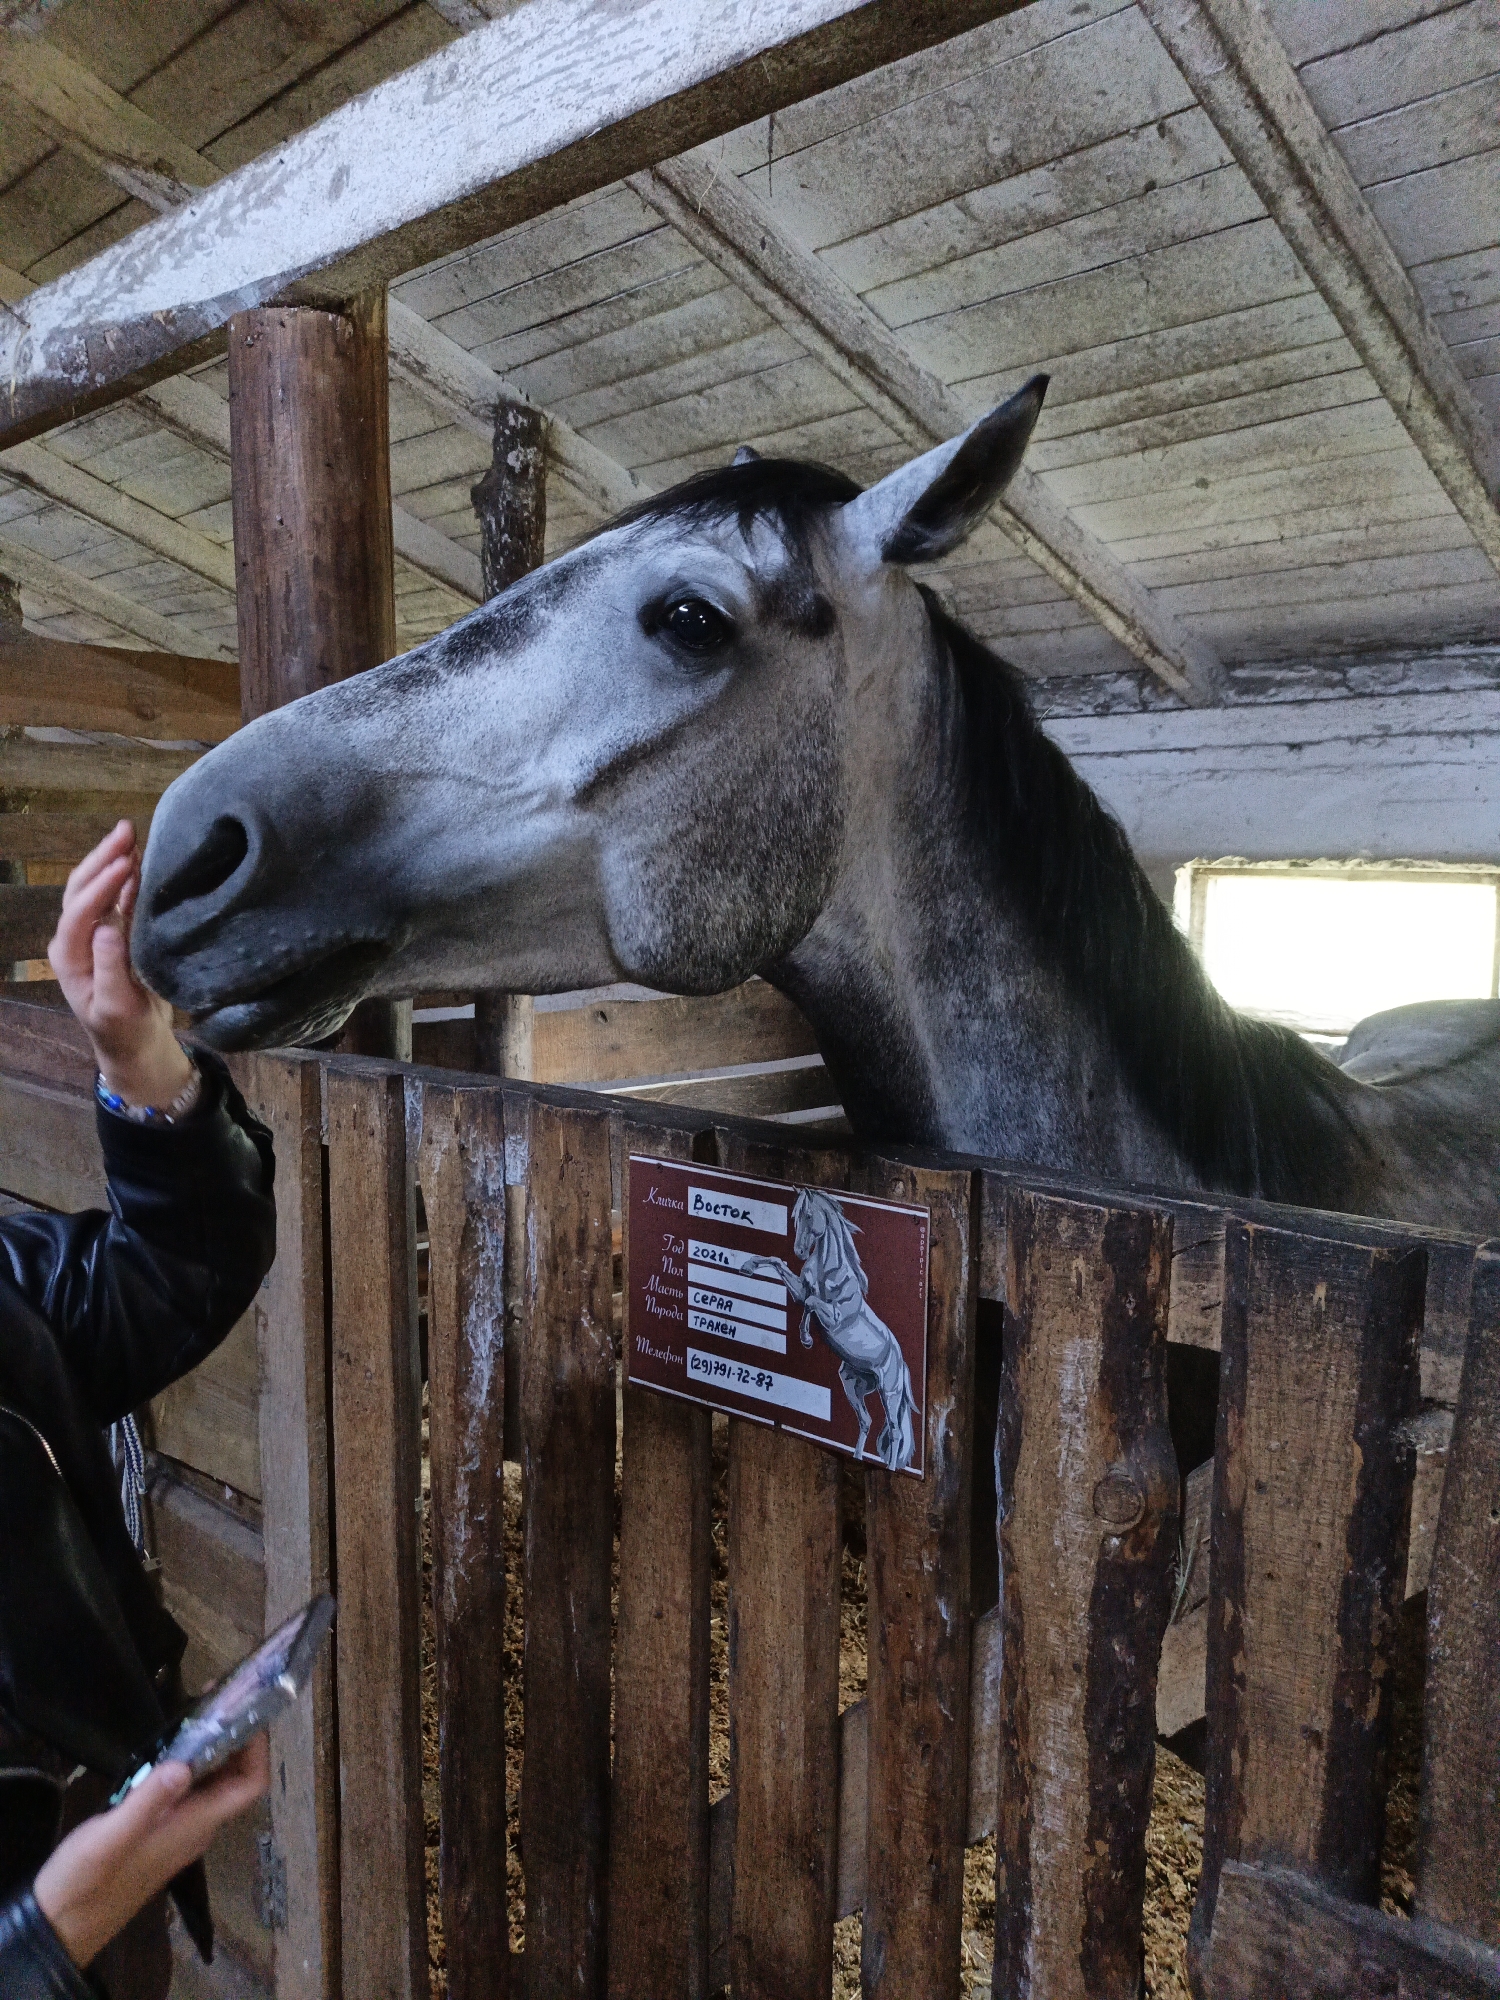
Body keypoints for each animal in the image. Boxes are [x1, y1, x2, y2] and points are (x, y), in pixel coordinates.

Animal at [746, 1189, 917, 1472]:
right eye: (794, 1216)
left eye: (808, 1215)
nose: (799, 1251)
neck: (828, 1271)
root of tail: (902, 1362)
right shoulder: (800, 1290)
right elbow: (782, 1268)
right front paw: (748, 1265)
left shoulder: (834, 1317)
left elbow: (811, 1302)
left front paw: (805, 1338)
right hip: (852, 1384)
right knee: (866, 1421)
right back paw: (857, 1456)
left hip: (890, 1393)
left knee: (895, 1432)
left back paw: (891, 1468)